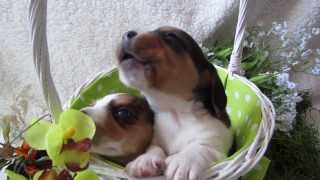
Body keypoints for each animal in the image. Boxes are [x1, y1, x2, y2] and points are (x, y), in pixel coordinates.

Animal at [117, 26, 232, 180]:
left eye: (171, 36)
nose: (126, 34)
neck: (175, 114)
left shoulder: (216, 146)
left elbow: (201, 147)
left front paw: (184, 161)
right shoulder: (156, 140)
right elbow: (154, 148)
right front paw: (144, 160)